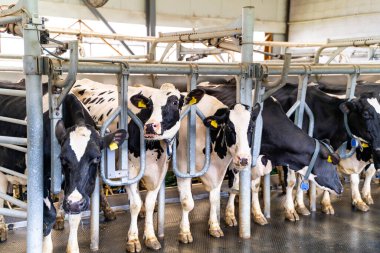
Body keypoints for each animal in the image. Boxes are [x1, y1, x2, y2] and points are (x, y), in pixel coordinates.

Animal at [0, 79, 127, 253]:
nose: (73, 202)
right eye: (62, 158)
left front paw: (72, 248)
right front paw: (45, 247)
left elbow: (75, 216)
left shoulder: (78, 191)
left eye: (97, 158)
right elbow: (48, 215)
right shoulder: (40, 179)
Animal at [69, 78, 203, 252]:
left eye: (174, 102)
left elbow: (150, 202)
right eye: (149, 105)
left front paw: (151, 237)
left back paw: (109, 212)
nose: (150, 126)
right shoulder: (129, 170)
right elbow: (135, 205)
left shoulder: (160, 171)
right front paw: (133, 240)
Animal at [175, 83, 344, 243]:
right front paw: (230, 216)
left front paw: (258, 214)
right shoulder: (238, 161)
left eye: (251, 128)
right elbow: (235, 186)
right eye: (331, 164)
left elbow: (255, 187)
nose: (340, 188)